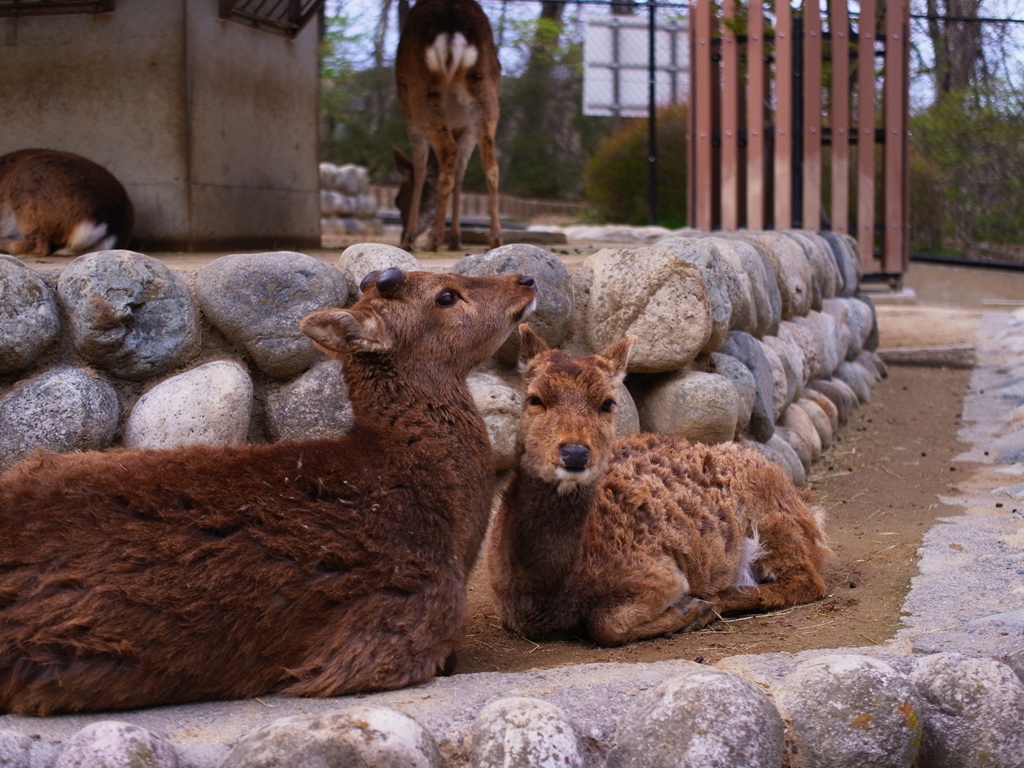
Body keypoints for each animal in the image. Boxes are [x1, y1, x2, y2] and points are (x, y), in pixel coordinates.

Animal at [393, 0, 501, 250]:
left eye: (398, 200)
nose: (401, 235)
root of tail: (451, 29)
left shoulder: (411, 121)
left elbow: (421, 170)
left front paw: (411, 235)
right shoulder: (465, 127)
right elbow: (461, 174)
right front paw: (456, 237)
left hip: (421, 94)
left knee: (448, 151)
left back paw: (434, 238)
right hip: (485, 92)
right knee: (491, 164)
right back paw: (495, 237)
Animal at [483, 325, 827, 651]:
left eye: (607, 403)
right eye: (534, 398)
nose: (575, 452)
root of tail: (804, 502)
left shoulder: (659, 573)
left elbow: (605, 624)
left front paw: (690, 610)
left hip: (774, 523)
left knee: (808, 580)